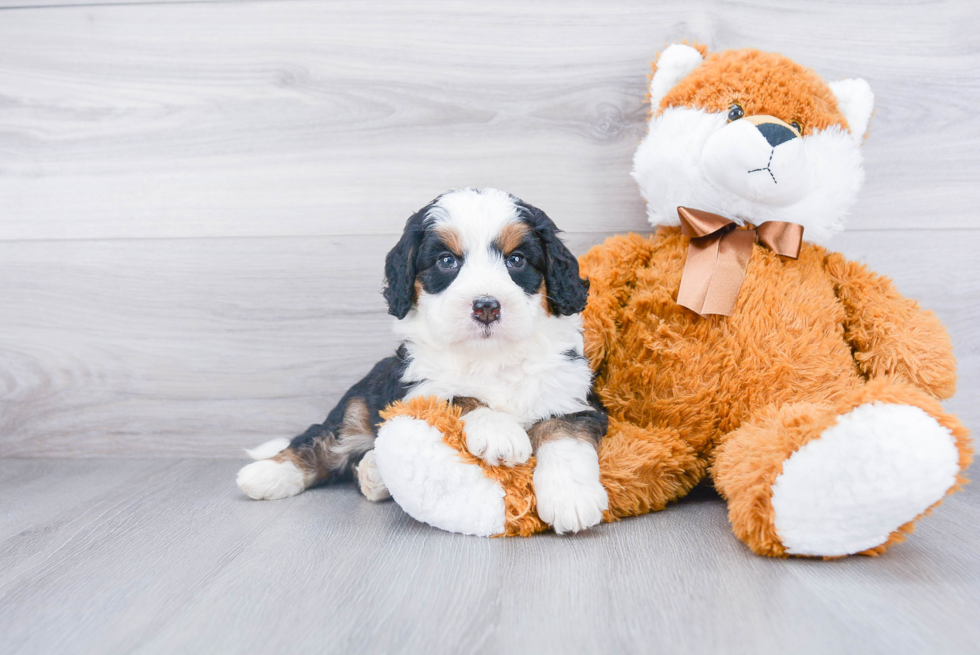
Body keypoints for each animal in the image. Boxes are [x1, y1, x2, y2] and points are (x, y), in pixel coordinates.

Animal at [237, 187, 604, 536]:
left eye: (516, 259)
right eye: (446, 261)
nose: (486, 306)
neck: (490, 356)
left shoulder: (573, 394)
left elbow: (563, 430)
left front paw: (571, 498)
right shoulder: (416, 386)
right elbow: (459, 396)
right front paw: (500, 431)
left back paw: (373, 473)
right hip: (358, 405)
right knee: (322, 439)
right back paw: (267, 473)